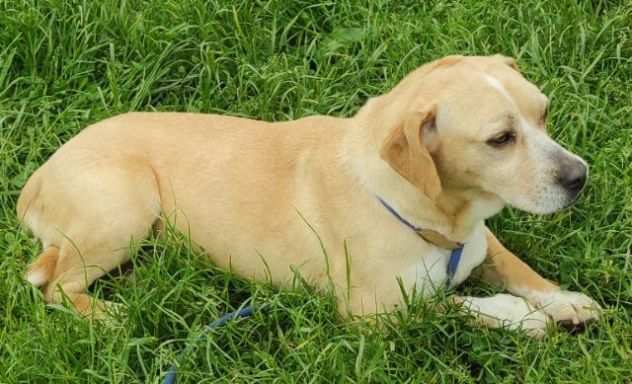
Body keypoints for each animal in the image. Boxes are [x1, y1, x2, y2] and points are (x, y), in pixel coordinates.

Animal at [18, 54, 604, 336]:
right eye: (500, 139)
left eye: (544, 114)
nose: (580, 177)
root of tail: (38, 176)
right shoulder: (374, 314)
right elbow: (449, 305)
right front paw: (522, 317)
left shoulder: (481, 242)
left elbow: (519, 269)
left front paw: (563, 299)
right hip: (128, 205)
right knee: (55, 285)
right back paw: (109, 315)